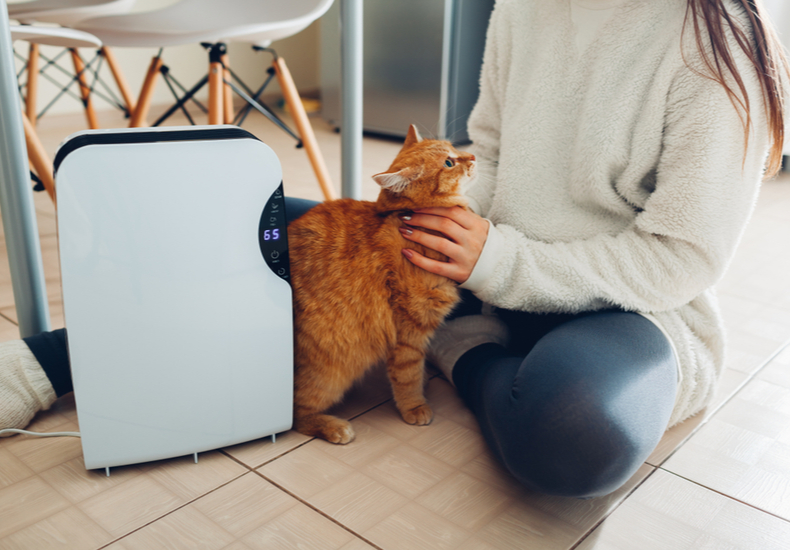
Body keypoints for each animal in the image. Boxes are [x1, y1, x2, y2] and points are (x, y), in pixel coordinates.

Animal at [290, 124, 476, 444]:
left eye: (455, 148)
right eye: (449, 162)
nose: (473, 156)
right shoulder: (409, 331)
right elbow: (407, 375)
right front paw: (415, 406)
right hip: (329, 374)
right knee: (296, 416)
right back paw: (333, 427)